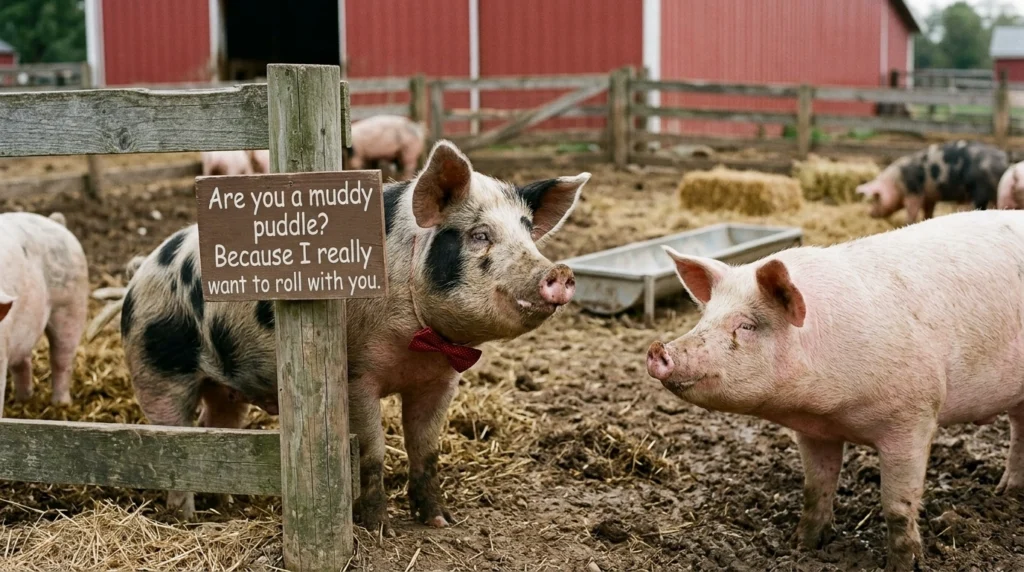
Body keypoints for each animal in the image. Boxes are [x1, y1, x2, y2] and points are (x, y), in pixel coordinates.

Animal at [0, 212, 88, 412]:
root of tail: (55, 221)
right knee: (23, 361)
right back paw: (22, 401)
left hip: (72, 306)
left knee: (62, 359)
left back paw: (61, 404)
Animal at [121, 140, 588, 530]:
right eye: (479, 235)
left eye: (528, 232)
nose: (559, 271)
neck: (418, 344)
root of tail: (140, 271)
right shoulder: (355, 376)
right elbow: (371, 451)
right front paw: (379, 528)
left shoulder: (440, 381)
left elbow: (426, 449)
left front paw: (439, 521)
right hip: (156, 369)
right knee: (170, 441)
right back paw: (186, 518)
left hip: (224, 387)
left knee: (214, 430)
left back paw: (226, 506)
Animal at [646, 209, 1024, 571]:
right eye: (704, 318)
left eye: (746, 326)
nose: (658, 350)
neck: (830, 410)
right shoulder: (815, 432)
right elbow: (816, 488)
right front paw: (803, 545)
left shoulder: (913, 418)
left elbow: (898, 505)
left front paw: (904, 565)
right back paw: (1006, 491)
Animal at [855, 140, 1008, 223]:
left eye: (876, 198)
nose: (870, 213)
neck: (897, 181)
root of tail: (1003, 160)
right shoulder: (929, 197)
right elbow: (928, 211)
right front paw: (926, 218)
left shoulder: (914, 192)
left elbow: (911, 212)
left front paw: (908, 222)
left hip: (980, 190)